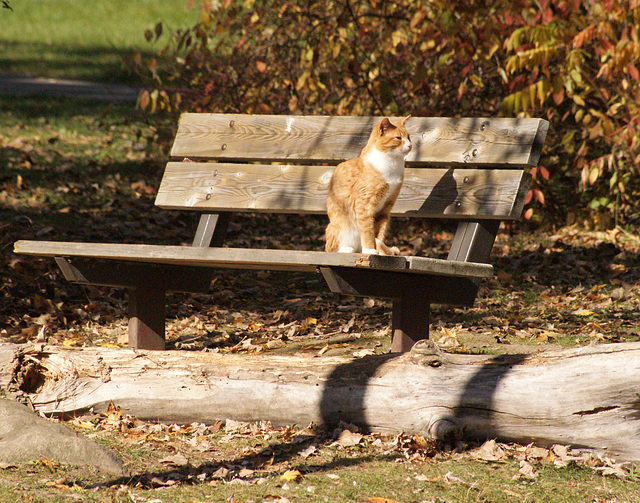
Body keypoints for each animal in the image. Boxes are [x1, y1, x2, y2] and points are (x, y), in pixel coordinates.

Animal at [324, 115, 410, 254]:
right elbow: (367, 231)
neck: (392, 165)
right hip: (340, 227)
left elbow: (379, 232)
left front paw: (380, 252)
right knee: (333, 248)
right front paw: (370, 250)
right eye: (398, 138)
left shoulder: (386, 207)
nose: (410, 145)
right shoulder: (364, 205)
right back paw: (347, 249)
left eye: (409, 137)